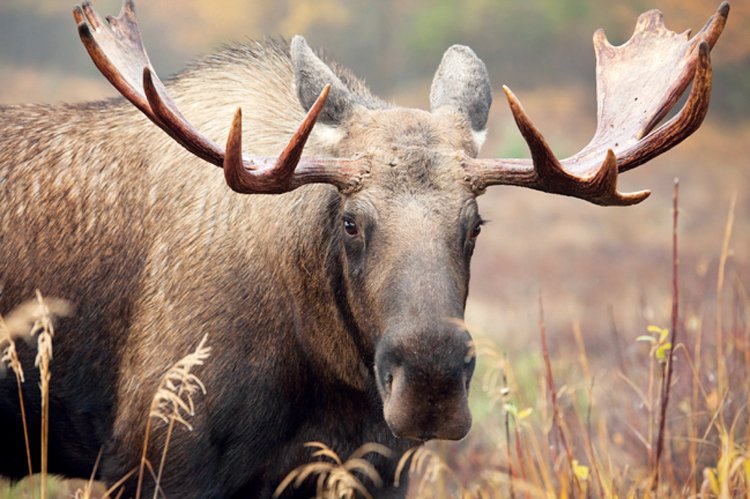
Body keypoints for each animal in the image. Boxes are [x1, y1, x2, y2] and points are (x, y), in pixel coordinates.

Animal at [0, 0, 728, 498]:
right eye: (350, 221)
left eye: (474, 225)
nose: (432, 379)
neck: (324, 371)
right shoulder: (154, 457)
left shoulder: (373, 471)